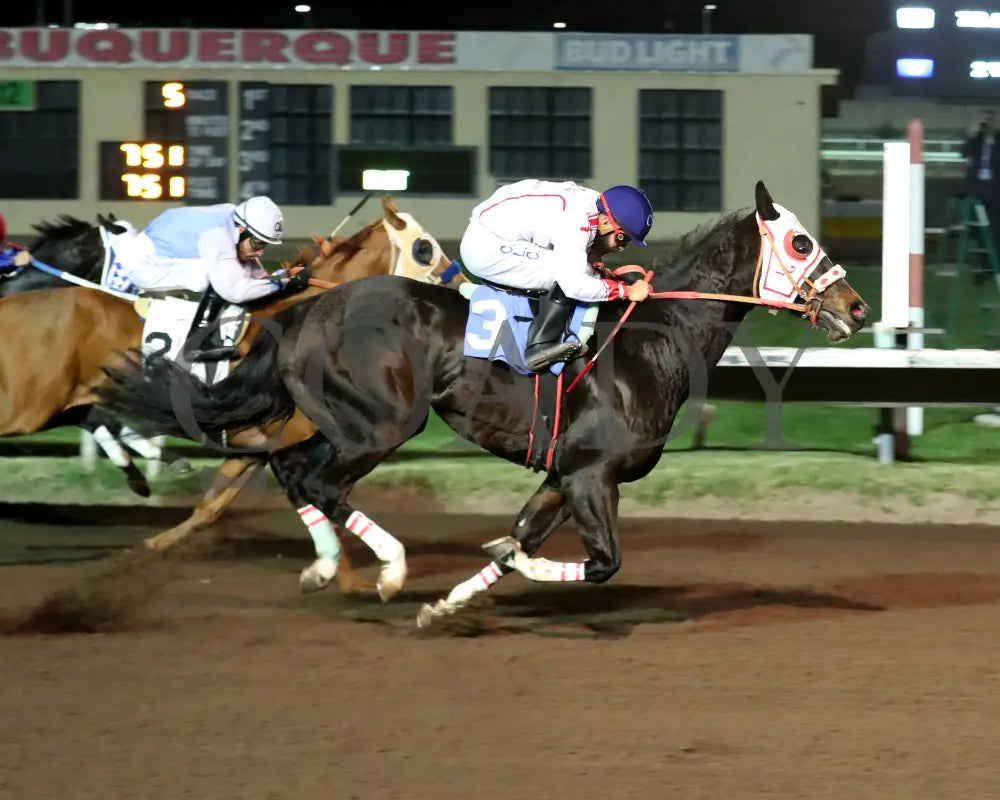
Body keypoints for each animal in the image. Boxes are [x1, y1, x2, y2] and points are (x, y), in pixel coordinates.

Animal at [0, 196, 468, 594]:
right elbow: (313, 493)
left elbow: (211, 509)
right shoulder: (288, 442)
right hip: (30, 405)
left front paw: (145, 551)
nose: (462, 283)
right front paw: (347, 574)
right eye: (423, 249)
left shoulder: (255, 446)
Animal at [97, 181, 872, 624]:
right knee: (316, 480)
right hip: (380, 424)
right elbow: (598, 562)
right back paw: (389, 571)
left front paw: (447, 605)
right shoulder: (593, 475)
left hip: (340, 420)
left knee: (292, 472)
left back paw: (326, 567)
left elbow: (525, 539)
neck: (651, 343)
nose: (857, 307)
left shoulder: (565, 475)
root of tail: (307, 308)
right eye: (800, 240)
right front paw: (493, 567)